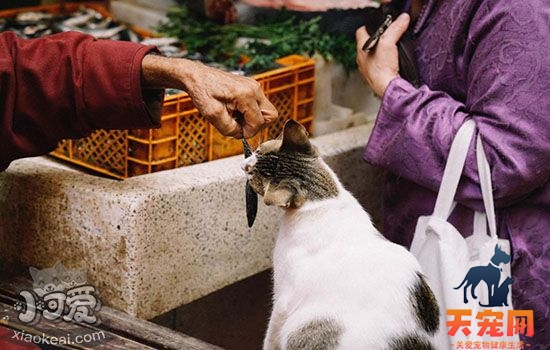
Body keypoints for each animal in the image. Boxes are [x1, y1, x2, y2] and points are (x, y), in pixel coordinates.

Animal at [244, 119, 442, 348]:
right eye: (259, 150)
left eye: (252, 175)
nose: (245, 164)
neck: (324, 200)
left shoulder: (283, 299)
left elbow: (270, 335)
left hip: (300, 326)